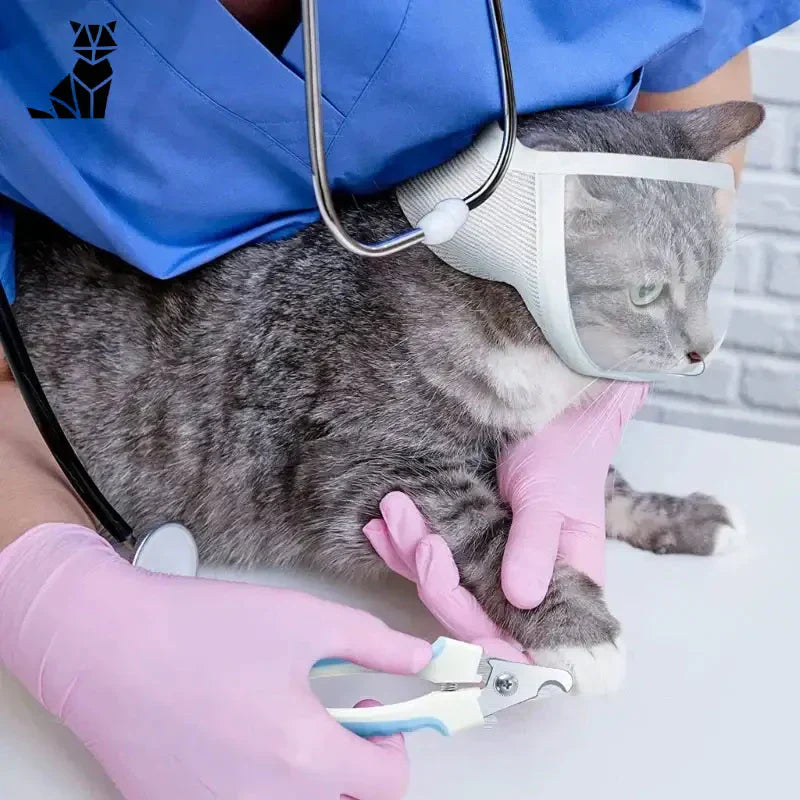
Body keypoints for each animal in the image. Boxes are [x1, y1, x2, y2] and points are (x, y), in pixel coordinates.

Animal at [10, 98, 764, 688]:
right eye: (646, 292)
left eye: (712, 279)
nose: (703, 351)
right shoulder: (369, 463)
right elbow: (491, 532)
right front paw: (574, 625)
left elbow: (593, 486)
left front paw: (681, 517)